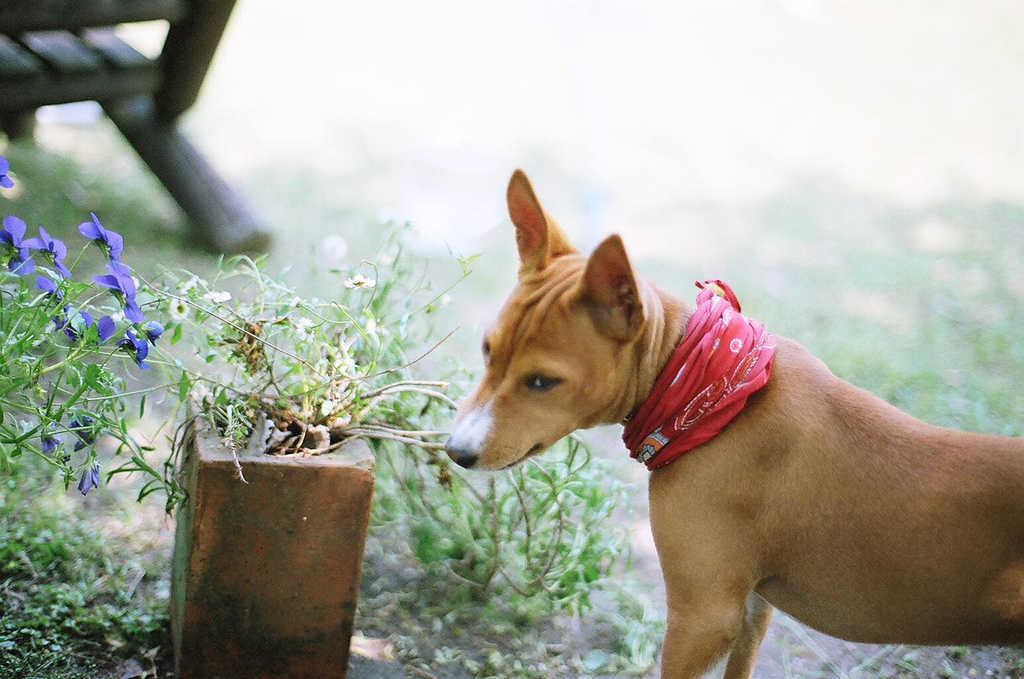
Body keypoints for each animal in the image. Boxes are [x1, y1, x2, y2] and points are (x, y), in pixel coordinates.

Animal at [446, 171, 1024, 679]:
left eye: (543, 381)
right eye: (487, 349)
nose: (455, 451)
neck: (713, 398)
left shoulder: (703, 616)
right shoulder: (750, 605)